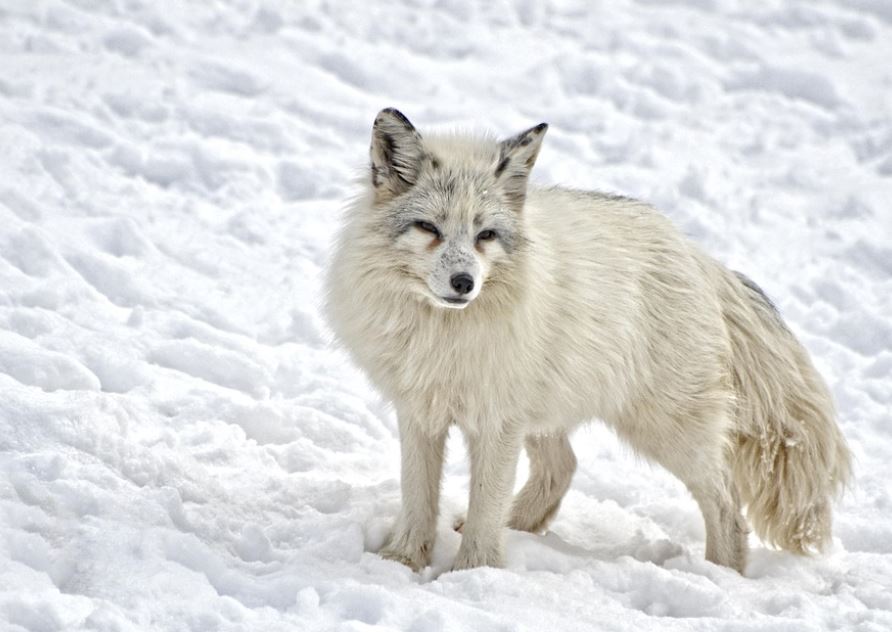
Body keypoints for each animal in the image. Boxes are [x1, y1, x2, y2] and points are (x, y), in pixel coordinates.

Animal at [325, 108, 851, 574]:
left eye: (485, 235)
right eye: (429, 228)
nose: (463, 283)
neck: (443, 334)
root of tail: (696, 254)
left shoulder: (496, 422)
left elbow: (485, 507)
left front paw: (472, 574)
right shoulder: (421, 412)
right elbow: (419, 497)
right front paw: (402, 562)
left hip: (665, 430)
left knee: (727, 506)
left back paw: (721, 576)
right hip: (549, 414)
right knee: (563, 468)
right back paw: (518, 527)